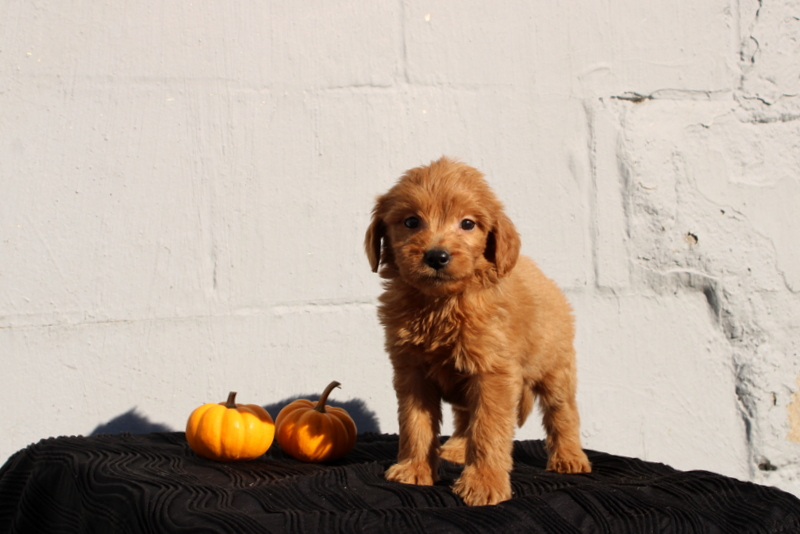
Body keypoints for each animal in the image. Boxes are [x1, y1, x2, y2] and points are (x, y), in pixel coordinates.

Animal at [366, 158, 592, 506]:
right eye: (411, 221)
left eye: (468, 224)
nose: (436, 256)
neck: (441, 305)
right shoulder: (412, 372)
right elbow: (415, 424)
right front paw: (414, 469)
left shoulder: (493, 374)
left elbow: (488, 428)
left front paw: (484, 483)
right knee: (464, 417)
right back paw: (458, 448)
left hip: (556, 368)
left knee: (562, 412)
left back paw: (569, 457)